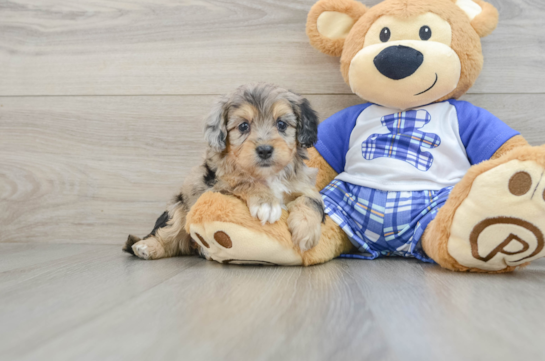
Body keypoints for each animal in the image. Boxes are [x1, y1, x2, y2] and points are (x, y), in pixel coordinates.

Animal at [124, 83, 324, 260]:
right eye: (243, 126)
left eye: (281, 124)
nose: (265, 150)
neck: (267, 175)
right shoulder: (215, 190)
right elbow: (243, 182)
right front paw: (266, 203)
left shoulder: (304, 185)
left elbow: (311, 201)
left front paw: (306, 232)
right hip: (180, 208)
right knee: (169, 235)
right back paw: (147, 247)